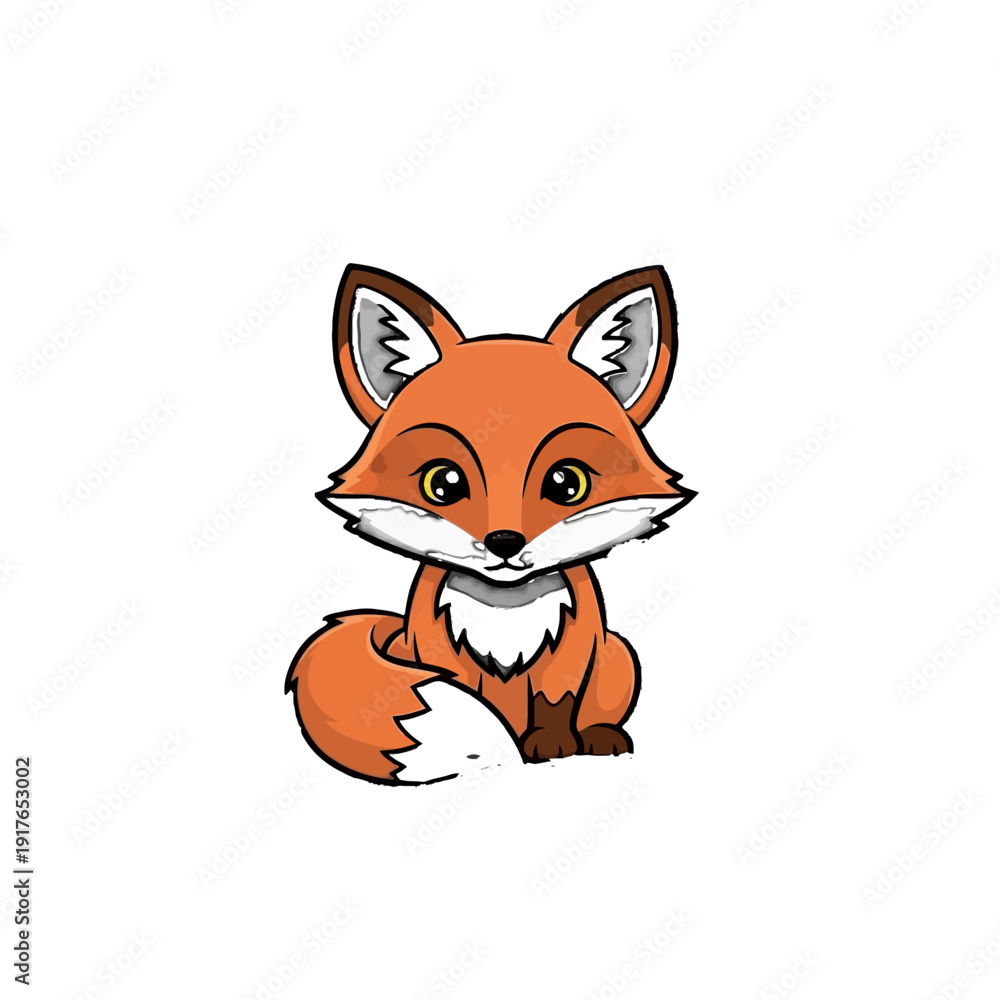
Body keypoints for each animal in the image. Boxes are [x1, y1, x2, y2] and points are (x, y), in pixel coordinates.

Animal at [285, 264, 694, 785]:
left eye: (566, 482)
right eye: (443, 483)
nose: (504, 542)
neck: (505, 607)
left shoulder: (571, 652)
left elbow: (555, 705)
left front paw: (551, 746)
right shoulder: (435, 648)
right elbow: (468, 695)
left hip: (619, 653)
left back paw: (599, 737)